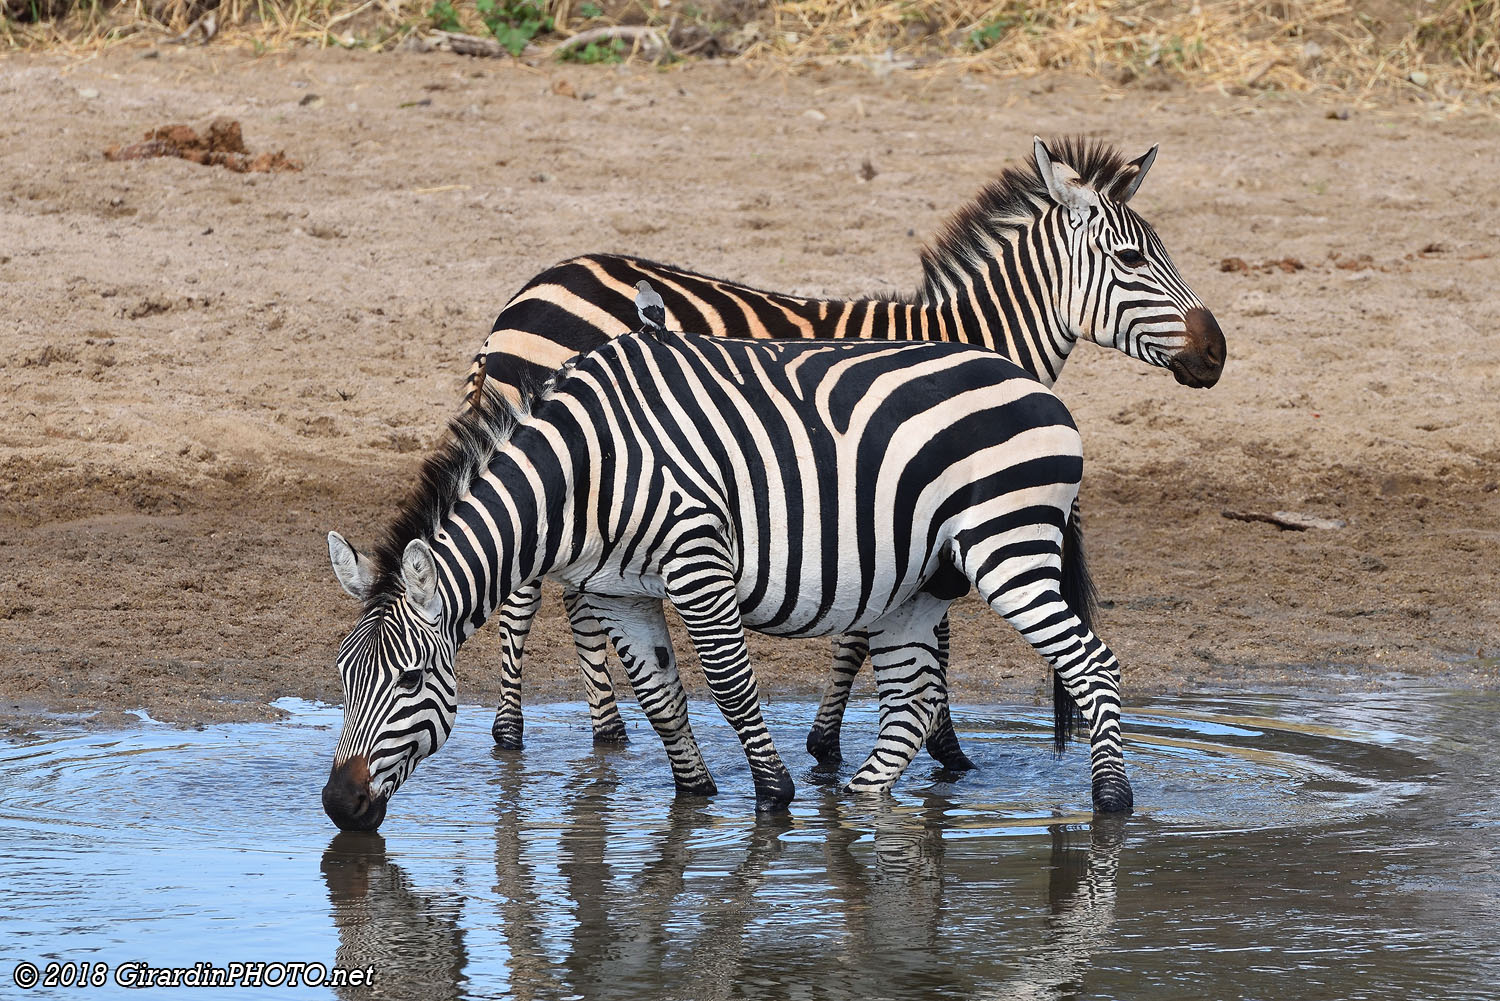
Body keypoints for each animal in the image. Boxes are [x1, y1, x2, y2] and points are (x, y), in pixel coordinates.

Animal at [322, 305, 1134, 831]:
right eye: (341, 677)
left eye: (410, 682)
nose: (336, 806)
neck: (586, 471)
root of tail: (1036, 386)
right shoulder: (617, 591)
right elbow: (661, 697)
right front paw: (695, 796)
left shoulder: (697, 560)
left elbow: (731, 688)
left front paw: (773, 796)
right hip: (918, 583)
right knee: (911, 701)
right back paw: (860, 801)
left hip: (1008, 545)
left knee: (1092, 664)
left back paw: (1112, 803)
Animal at [467, 137, 1225, 767]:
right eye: (1132, 260)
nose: (1217, 352)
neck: (972, 340)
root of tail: (526, 292)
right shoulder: (892, 491)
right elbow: (878, 633)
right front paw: (892, 746)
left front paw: (891, 743)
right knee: (525, 594)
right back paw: (511, 731)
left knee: (571, 594)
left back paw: (605, 729)